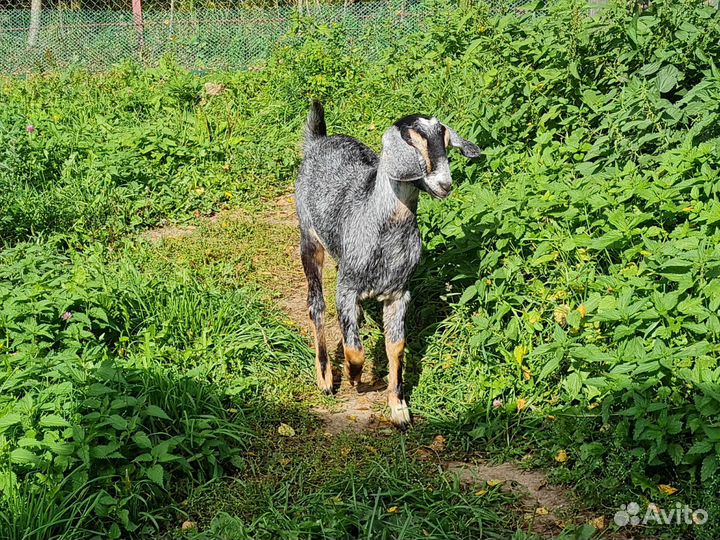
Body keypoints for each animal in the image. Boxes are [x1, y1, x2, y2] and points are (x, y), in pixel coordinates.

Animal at [295, 101, 481, 429]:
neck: (385, 228)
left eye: (445, 141)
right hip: (309, 237)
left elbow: (396, 346)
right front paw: (355, 378)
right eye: (415, 142)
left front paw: (399, 409)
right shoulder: (347, 287)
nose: (445, 184)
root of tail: (319, 139)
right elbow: (354, 349)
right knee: (315, 304)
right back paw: (326, 378)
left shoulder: (398, 292)